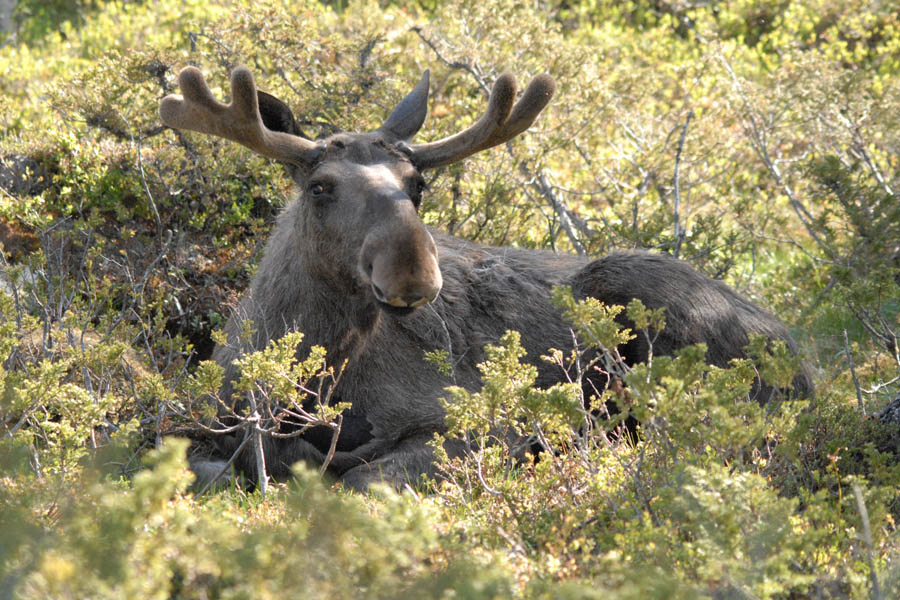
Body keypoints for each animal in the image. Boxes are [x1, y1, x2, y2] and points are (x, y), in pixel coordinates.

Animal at [158, 64, 812, 492]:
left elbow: (363, 480)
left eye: (418, 185)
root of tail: (803, 360)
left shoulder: (472, 423)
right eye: (320, 187)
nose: (413, 275)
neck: (314, 375)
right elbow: (204, 464)